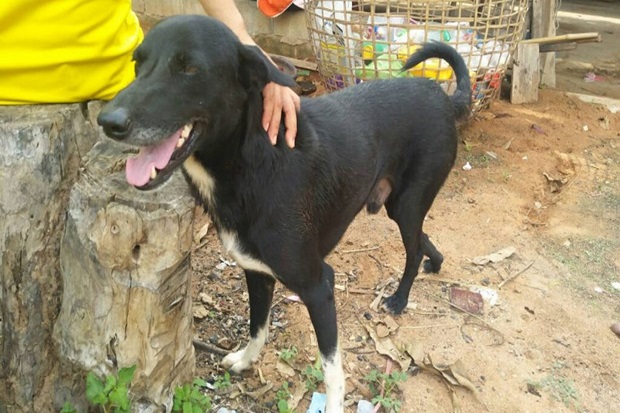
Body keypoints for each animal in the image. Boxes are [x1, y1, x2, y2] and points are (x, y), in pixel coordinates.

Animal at [98, 14, 470, 410]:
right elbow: (257, 325)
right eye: (138, 63)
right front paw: (246, 360)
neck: (250, 164)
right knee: (424, 239)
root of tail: (443, 97)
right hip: (398, 205)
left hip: (407, 202)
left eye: (189, 68)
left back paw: (400, 298)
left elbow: (332, 369)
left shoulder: (318, 285)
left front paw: (333, 403)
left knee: (413, 248)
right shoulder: (257, 272)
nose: (108, 121)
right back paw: (435, 263)